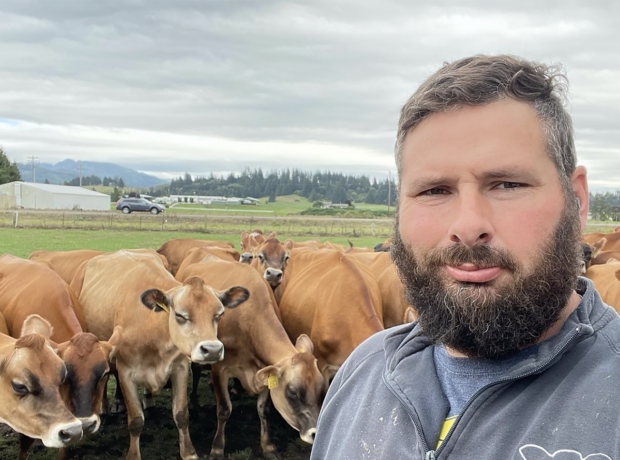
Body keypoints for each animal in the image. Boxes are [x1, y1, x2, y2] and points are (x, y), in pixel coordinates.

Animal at [72, 250, 247, 460]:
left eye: (219, 314)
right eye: (179, 315)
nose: (212, 349)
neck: (153, 327)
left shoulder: (180, 368)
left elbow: (181, 414)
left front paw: (189, 453)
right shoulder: (126, 372)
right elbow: (135, 420)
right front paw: (133, 455)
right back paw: (107, 408)